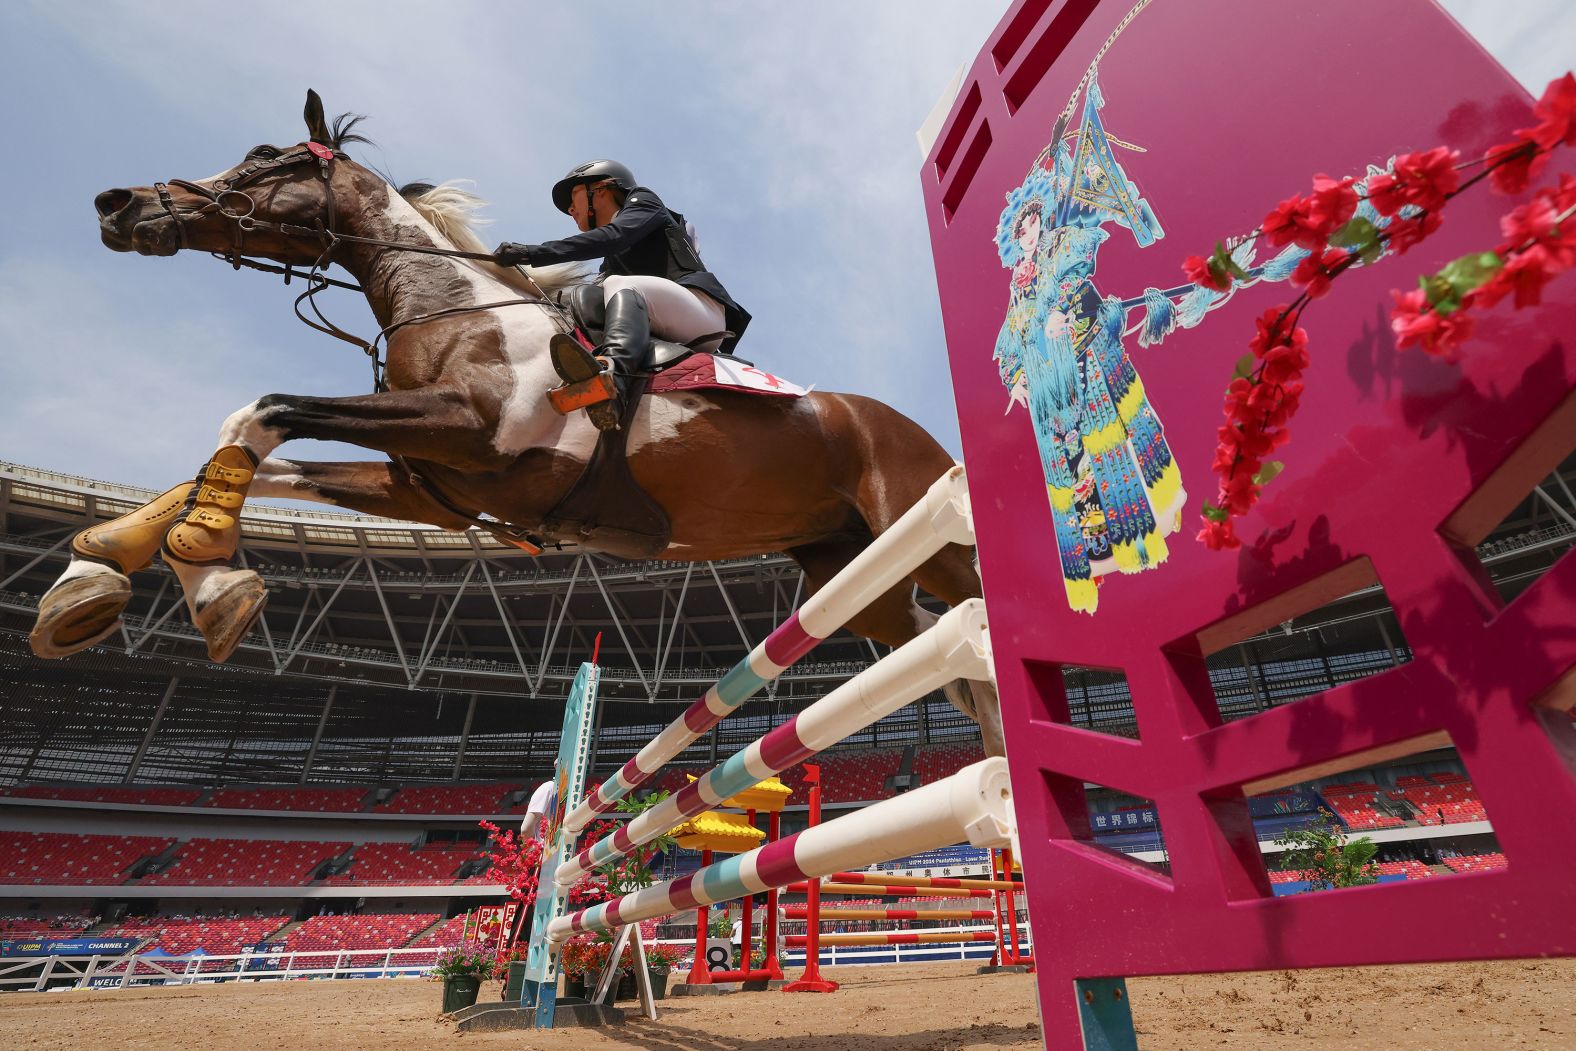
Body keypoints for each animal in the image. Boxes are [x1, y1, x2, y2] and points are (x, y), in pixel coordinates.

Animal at [27, 86, 1008, 753]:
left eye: (266, 156)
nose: (119, 204)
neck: (451, 307)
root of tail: (909, 429)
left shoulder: (465, 429)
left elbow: (263, 408)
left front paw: (200, 573)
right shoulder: (426, 486)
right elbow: (242, 447)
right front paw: (116, 573)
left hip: (927, 529)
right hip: (855, 573)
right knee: (942, 649)